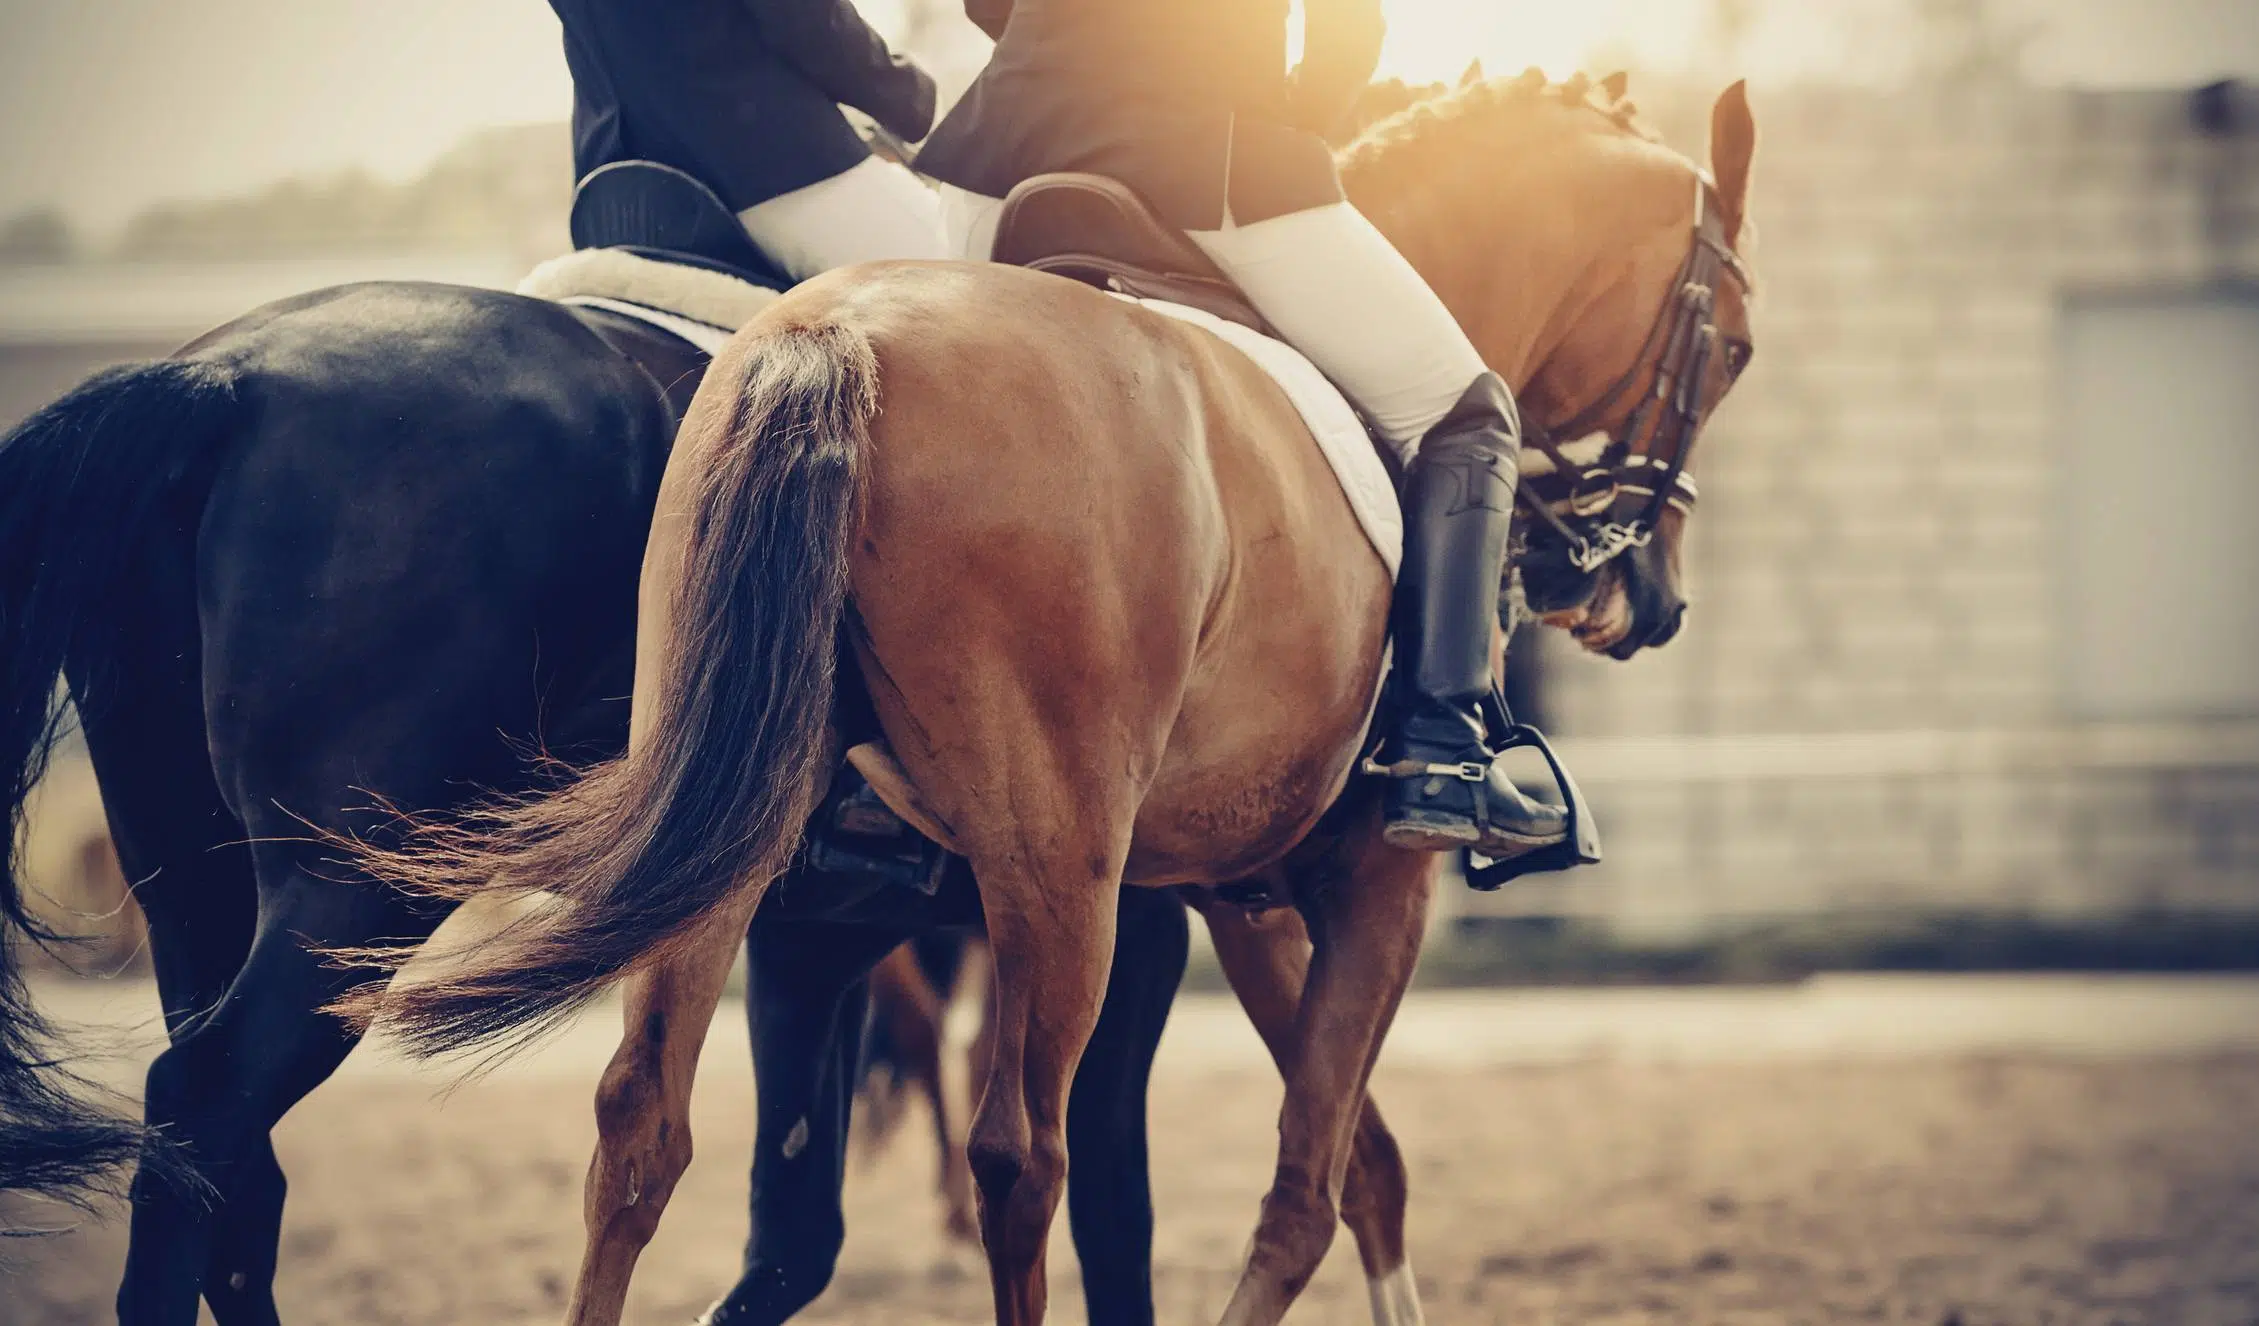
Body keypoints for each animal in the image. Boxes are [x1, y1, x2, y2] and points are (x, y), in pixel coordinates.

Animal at [0, 272, 1192, 1326]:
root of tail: (229, 376)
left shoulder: (814, 938)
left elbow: (794, 1236)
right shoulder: (1124, 922)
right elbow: (1113, 1216)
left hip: (188, 882)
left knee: (231, 1170)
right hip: (347, 892)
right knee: (204, 1106)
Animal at [352, 75, 1762, 1326]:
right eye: (1738, 352)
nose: (1647, 600)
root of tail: (838, 332)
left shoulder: (1244, 896)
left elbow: (1362, 1168)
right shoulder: (1376, 879)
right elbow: (1303, 1192)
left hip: (734, 832)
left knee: (640, 1124)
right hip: (1055, 871)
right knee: (1021, 1155)